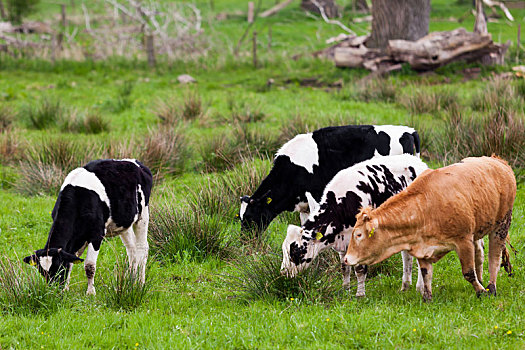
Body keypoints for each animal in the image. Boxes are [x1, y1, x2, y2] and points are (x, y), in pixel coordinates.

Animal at [23, 159, 152, 296]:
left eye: (59, 268)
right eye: (42, 272)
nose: (53, 290)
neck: (78, 198)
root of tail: (136, 162)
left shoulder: (96, 234)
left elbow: (89, 266)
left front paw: (90, 292)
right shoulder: (77, 238)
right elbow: (72, 261)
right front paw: (66, 289)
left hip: (143, 215)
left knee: (142, 248)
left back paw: (140, 283)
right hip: (123, 223)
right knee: (131, 249)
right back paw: (130, 281)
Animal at [239, 124, 420, 231]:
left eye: (249, 217)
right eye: (240, 218)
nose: (246, 242)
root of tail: (409, 131)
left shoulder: (316, 197)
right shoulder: (303, 205)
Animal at [280, 154, 428, 296]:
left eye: (295, 251)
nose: (283, 273)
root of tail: (420, 163)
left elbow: (359, 268)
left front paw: (360, 294)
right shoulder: (342, 241)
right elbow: (344, 267)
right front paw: (346, 290)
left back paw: (421, 288)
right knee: (407, 255)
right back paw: (405, 286)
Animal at [344, 156, 516, 300]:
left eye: (358, 235)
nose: (346, 259)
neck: (425, 206)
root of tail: (498, 162)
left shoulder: (463, 241)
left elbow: (468, 273)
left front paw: (480, 292)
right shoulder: (422, 248)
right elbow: (426, 274)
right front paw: (427, 297)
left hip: (501, 225)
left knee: (494, 258)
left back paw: (491, 287)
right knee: (480, 254)